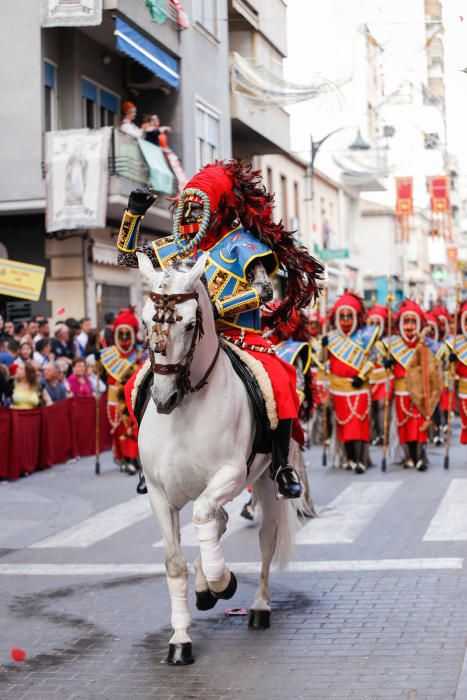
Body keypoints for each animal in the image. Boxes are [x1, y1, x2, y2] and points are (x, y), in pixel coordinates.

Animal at [136, 253, 296, 668]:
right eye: (144, 320)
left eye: (191, 323)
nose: (163, 398)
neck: (186, 409)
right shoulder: (158, 493)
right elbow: (175, 562)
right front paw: (180, 639)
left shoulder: (230, 474)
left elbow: (206, 517)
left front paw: (222, 581)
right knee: (218, 520)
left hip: (265, 482)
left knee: (265, 539)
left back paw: (258, 607)